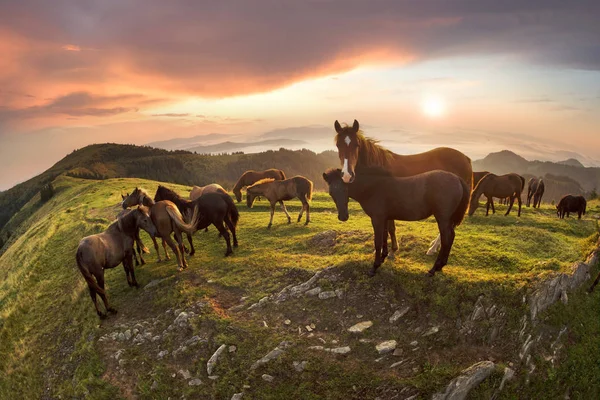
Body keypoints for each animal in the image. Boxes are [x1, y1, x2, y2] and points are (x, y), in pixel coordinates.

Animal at [324, 167, 468, 276]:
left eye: (345, 189)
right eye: (331, 193)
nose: (343, 217)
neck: (373, 188)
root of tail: (458, 179)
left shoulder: (377, 219)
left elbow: (377, 241)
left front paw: (374, 267)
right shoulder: (385, 217)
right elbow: (385, 236)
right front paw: (383, 257)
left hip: (443, 219)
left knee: (446, 239)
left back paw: (433, 269)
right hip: (448, 220)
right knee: (451, 237)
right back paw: (440, 266)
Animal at [336, 119, 472, 256]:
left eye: (356, 145)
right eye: (338, 145)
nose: (347, 175)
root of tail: (465, 158)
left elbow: (390, 228)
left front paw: (391, 250)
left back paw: (433, 249)